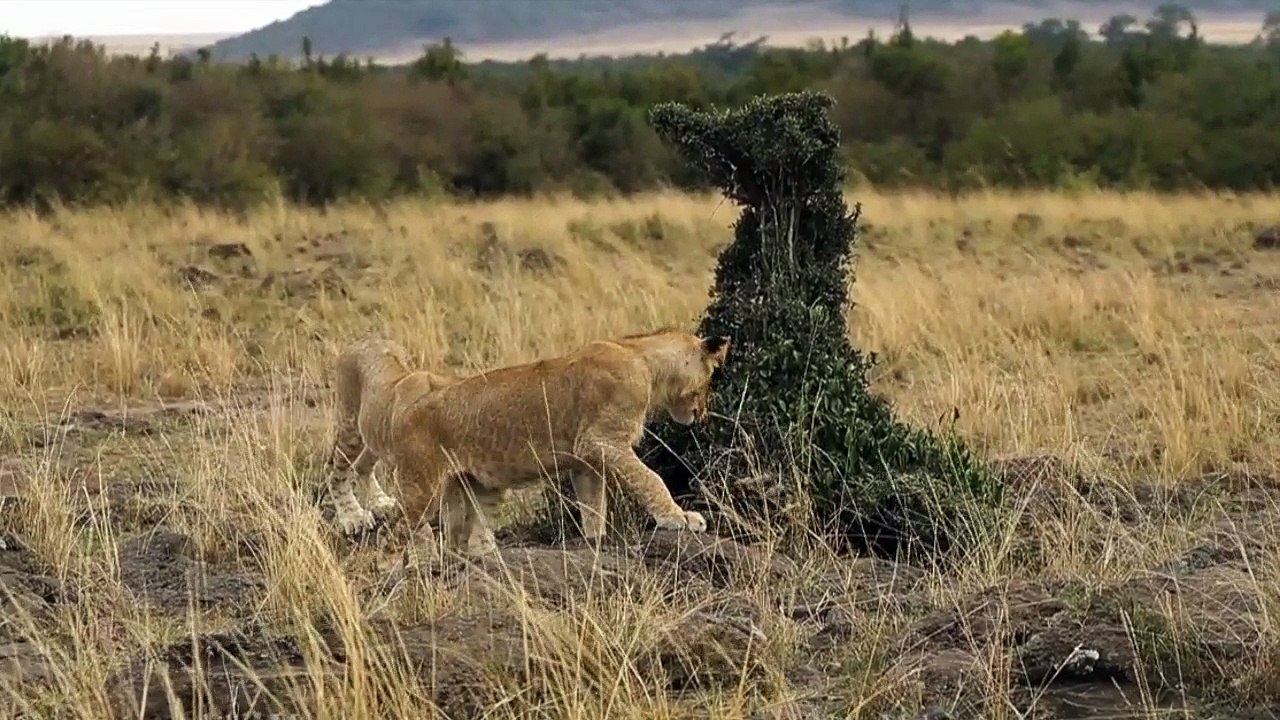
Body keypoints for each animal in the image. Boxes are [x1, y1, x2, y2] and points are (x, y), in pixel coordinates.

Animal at [322, 328, 730, 558]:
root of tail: (407, 397)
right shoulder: (599, 441)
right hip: (416, 483)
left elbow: (594, 507)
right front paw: (679, 518)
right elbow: (650, 479)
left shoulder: (585, 461)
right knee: (383, 523)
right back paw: (364, 527)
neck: (643, 358)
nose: (703, 413)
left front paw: (594, 541)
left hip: (474, 484)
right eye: (712, 376)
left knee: (459, 534)